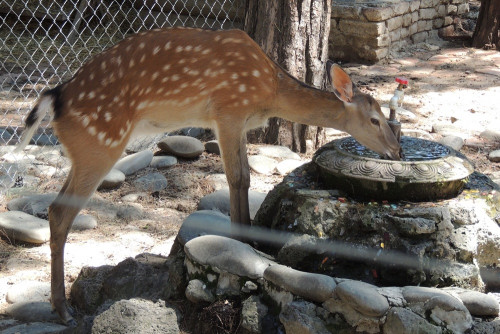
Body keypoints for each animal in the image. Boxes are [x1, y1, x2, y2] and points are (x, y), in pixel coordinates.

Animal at [16, 27, 402, 324]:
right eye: (374, 120)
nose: (397, 150)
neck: (268, 92)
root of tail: (54, 99)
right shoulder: (228, 110)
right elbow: (236, 178)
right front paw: (244, 240)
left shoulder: (240, 122)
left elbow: (245, 177)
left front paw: (250, 240)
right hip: (101, 142)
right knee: (60, 212)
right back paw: (63, 310)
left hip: (84, 151)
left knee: (56, 209)